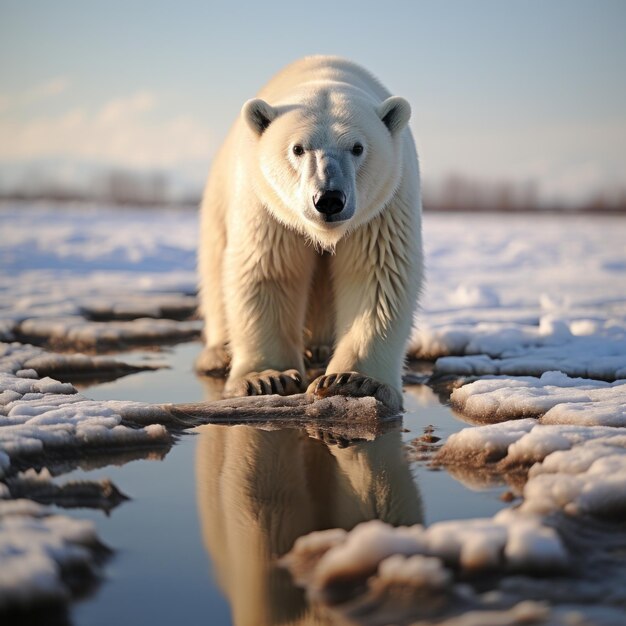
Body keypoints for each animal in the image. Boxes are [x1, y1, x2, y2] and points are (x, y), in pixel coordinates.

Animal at [197, 56, 422, 410]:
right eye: (298, 148)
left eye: (357, 147)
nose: (329, 198)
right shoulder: (267, 207)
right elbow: (268, 270)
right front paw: (266, 378)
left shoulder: (384, 207)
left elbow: (376, 274)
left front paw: (354, 380)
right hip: (218, 201)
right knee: (215, 267)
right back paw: (219, 353)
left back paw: (320, 347)